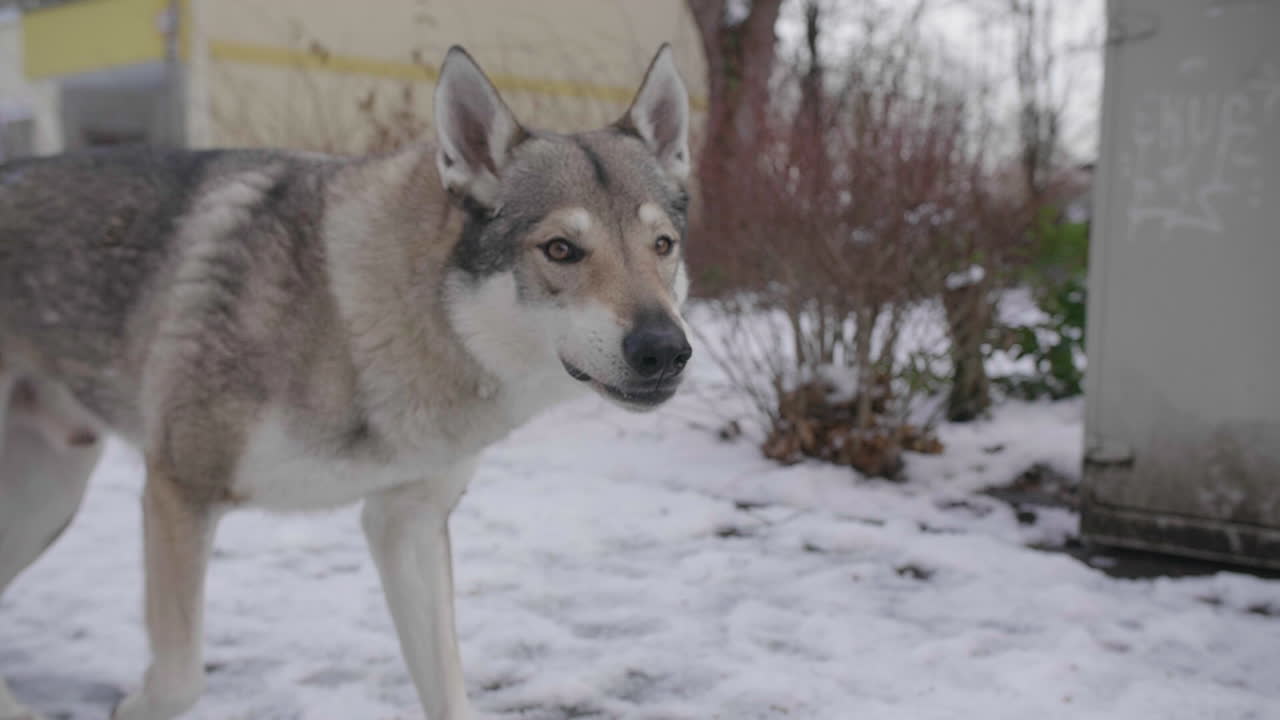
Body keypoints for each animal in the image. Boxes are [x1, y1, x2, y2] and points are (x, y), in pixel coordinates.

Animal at [0, 44, 693, 720]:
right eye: (560, 250)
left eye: (662, 246)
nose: (666, 350)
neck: (358, 314)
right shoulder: (180, 490)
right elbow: (178, 682)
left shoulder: (407, 523)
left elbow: (448, 691)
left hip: (48, 501)